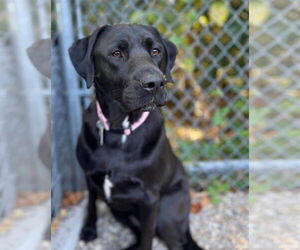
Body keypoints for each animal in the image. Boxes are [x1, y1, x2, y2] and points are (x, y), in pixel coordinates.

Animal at [69, 23, 203, 250]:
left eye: (156, 51)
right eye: (116, 53)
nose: (155, 83)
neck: (120, 130)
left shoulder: (149, 198)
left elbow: (148, 238)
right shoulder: (89, 176)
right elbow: (91, 205)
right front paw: (89, 230)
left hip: (167, 215)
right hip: (119, 211)